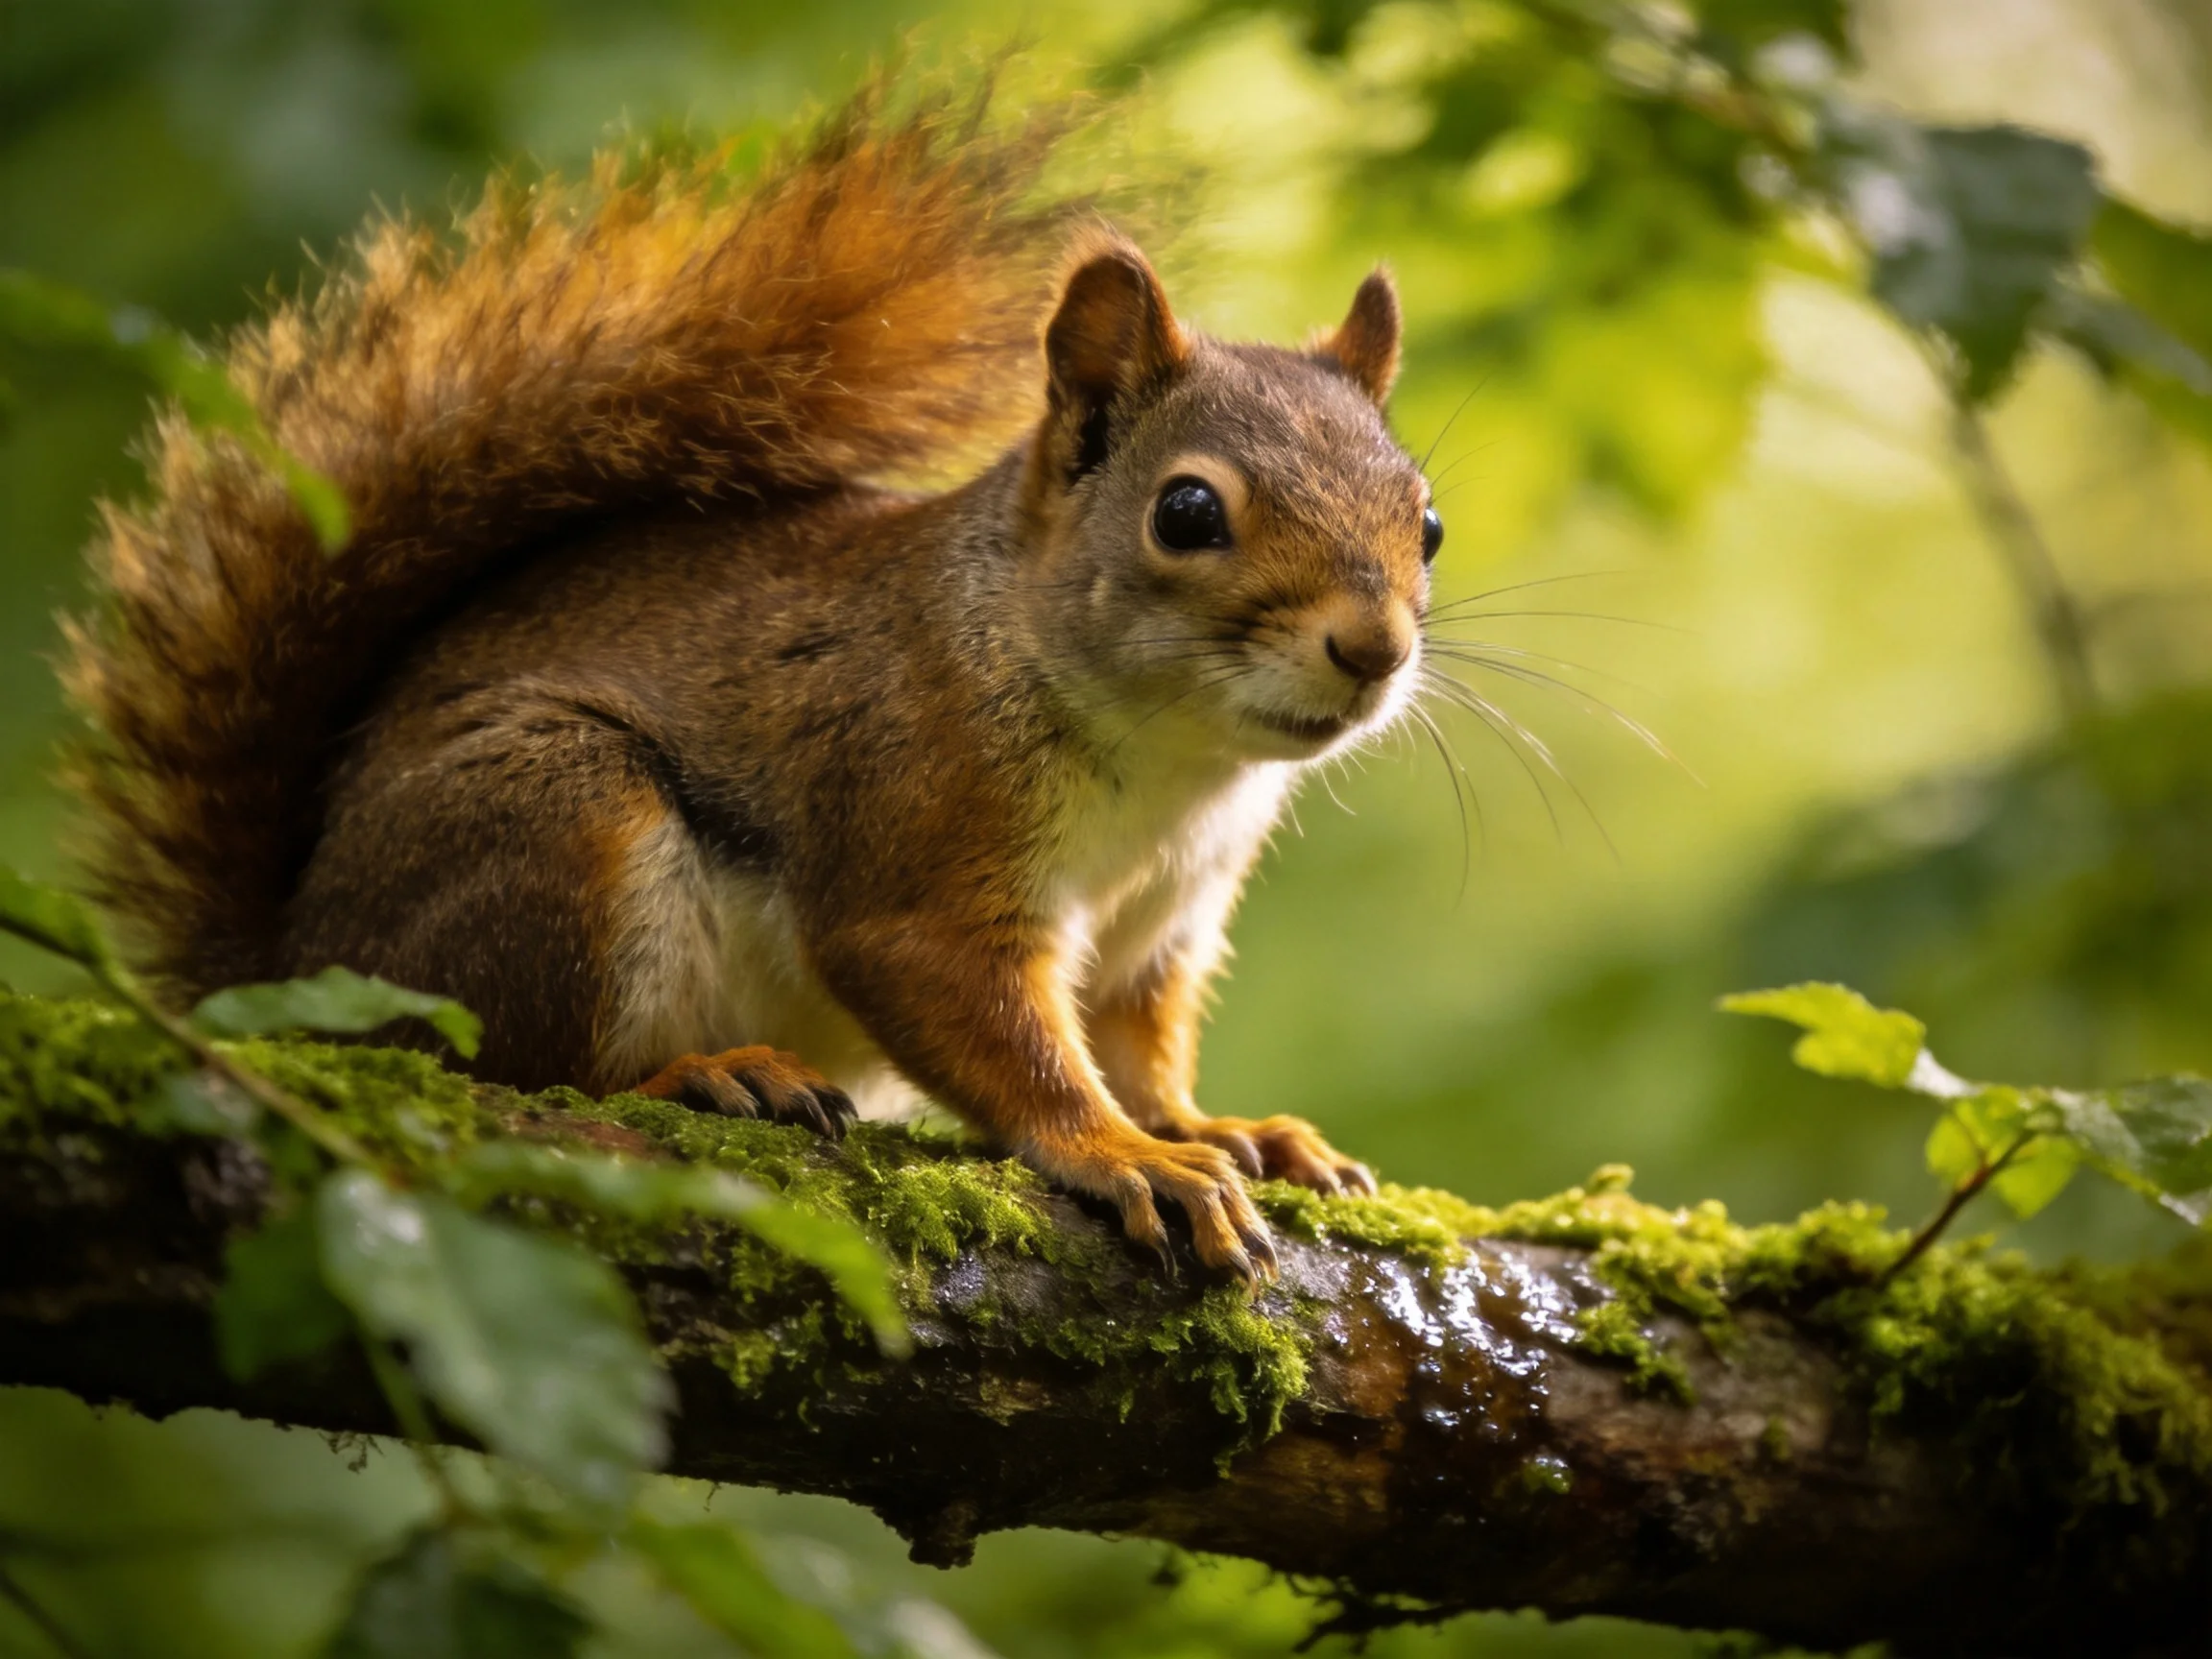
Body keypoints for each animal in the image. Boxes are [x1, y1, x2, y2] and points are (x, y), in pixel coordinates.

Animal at [62, 84, 1441, 1284]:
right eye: (1188, 512)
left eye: (1426, 524)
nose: (1372, 649)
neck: (1171, 762)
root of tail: (291, 959)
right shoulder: (916, 820)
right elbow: (996, 1030)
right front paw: (1120, 1154)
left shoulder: (1159, 926)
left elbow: (1138, 1048)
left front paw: (1222, 1131)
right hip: (553, 824)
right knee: (511, 1069)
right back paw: (703, 1076)